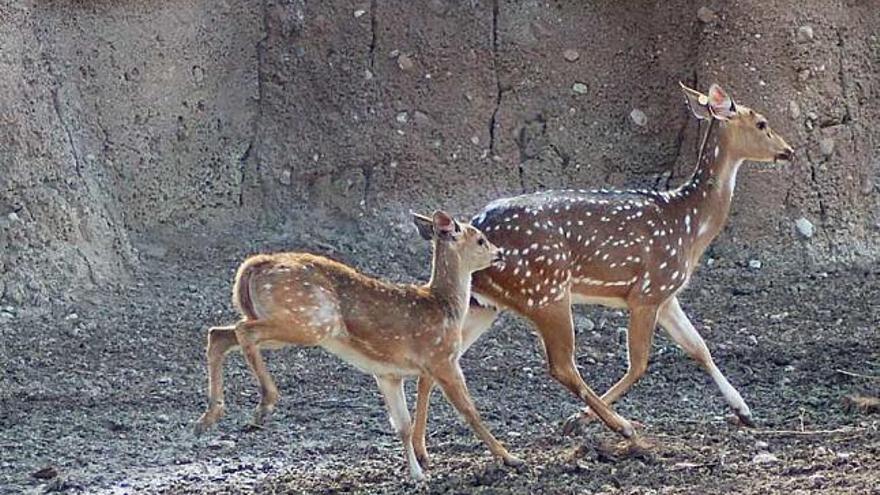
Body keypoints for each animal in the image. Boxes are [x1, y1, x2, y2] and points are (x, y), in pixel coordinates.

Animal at [194, 211, 524, 482]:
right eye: (480, 239)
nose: (499, 253)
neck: (445, 306)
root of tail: (253, 265)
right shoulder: (442, 357)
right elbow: (470, 411)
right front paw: (511, 458)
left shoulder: (388, 373)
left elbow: (402, 425)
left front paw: (416, 474)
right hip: (309, 320)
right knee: (241, 331)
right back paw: (263, 404)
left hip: (284, 320)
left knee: (219, 334)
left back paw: (208, 418)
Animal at [410, 83, 796, 466]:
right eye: (762, 123)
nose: (789, 151)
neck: (690, 227)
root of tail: (476, 225)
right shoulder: (647, 291)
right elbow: (640, 362)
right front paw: (578, 421)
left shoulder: (667, 293)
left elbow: (699, 347)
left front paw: (744, 411)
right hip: (545, 291)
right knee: (561, 365)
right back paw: (620, 426)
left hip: (485, 304)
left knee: (440, 362)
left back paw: (422, 450)